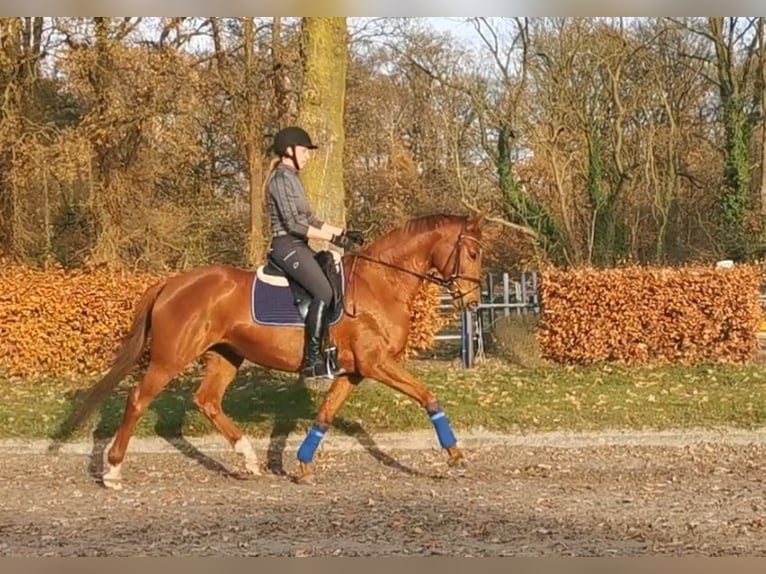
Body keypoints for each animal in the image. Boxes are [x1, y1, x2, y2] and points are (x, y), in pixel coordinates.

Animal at [58, 212, 487, 489]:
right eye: (473, 254)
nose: (471, 301)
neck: (381, 283)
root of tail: (171, 284)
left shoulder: (354, 371)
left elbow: (326, 414)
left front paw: (302, 465)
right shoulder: (376, 363)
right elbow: (428, 397)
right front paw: (455, 457)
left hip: (226, 356)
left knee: (207, 400)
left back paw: (248, 459)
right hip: (170, 359)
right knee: (137, 400)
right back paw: (113, 471)